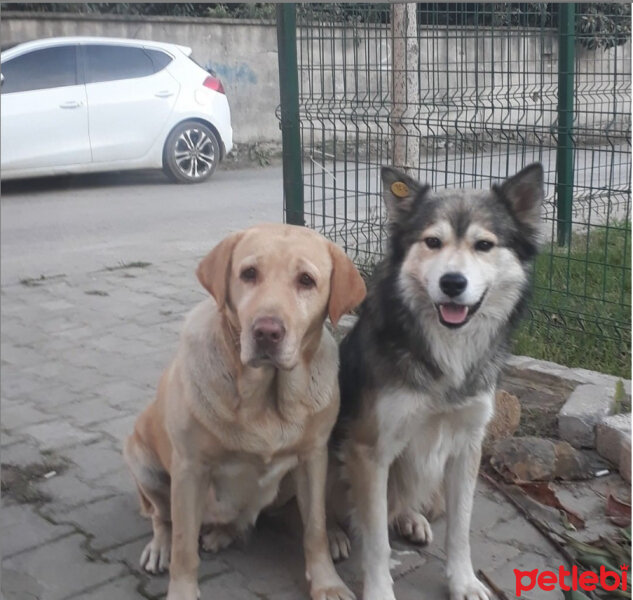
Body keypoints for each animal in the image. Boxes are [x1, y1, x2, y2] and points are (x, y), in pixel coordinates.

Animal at [328, 164, 540, 600]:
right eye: (432, 242)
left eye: (484, 245)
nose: (453, 283)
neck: (447, 349)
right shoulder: (369, 451)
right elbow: (376, 541)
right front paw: (379, 591)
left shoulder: (467, 446)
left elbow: (460, 528)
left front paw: (464, 581)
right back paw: (335, 535)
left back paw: (410, 518)